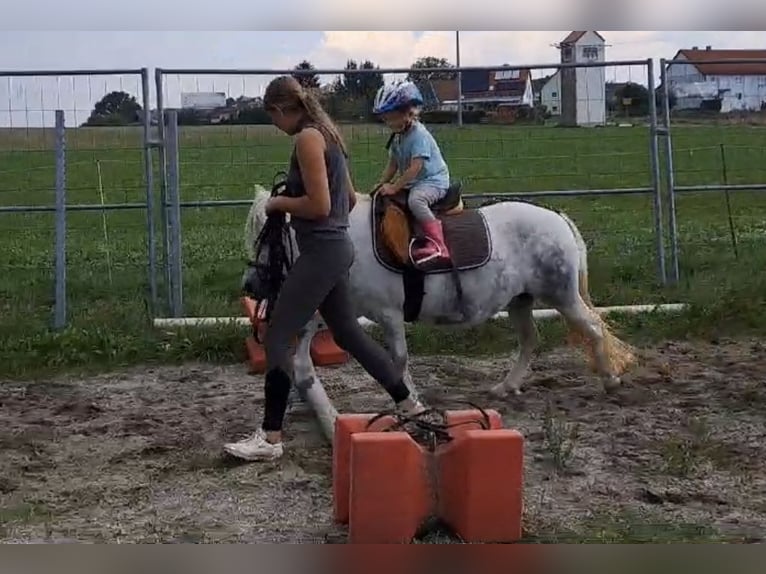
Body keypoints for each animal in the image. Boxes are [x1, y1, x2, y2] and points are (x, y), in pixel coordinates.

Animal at [246, 187, 636, 402]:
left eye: (266, 239)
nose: (250, 287)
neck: (347, 240)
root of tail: (558, 220)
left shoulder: (389, 313)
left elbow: (398, 358)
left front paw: (407, 399)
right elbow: (308, 330)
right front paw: (303, 377)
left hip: (562, 296)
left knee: (592, 329)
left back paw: (610, 380)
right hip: (520, 301)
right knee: (530, 341)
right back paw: (505, 387)